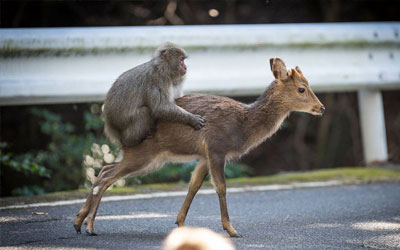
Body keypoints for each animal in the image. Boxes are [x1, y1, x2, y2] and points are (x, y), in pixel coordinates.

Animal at [74, 57, 324, 237]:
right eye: (302, 89)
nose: (321, 107)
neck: (243, 126)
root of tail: (120, 133)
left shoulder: (204, 155)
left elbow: (193, 185)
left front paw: (181, 224)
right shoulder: (216, 147)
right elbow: (221, 187)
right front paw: (231, 230)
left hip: (148, 158)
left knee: (103, 170)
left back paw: (78, 221)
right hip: (144, 154)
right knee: (106, 177)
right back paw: (90, 227)